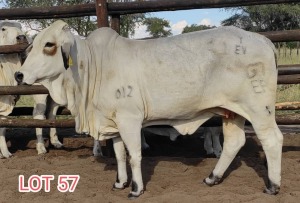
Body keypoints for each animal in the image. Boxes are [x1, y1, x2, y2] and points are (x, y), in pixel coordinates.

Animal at [15, 20, 284, 198]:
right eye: (31, 46)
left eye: (49, 45)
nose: (19, 75)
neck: (93, 67)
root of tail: (262, 39)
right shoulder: (113, 123)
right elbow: (119, 154)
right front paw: (120, 183)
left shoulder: (130, 119)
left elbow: (134, 155)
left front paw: (136, 188)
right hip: (233, 111)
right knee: (234, 142)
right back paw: (212, 178)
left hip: (259, 108)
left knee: (272, 139)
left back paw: (273, 185)